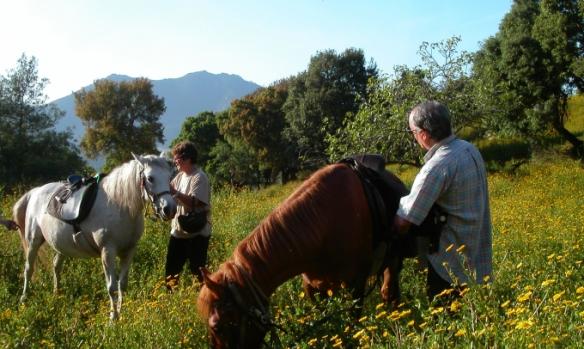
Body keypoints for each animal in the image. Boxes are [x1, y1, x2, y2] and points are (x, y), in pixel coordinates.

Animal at [11, 152, 176, 318]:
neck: (119, 205)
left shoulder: (129, 251)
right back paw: (24, 299)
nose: (169, 209)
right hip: (33, 241)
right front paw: (113, 318)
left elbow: (122, 284)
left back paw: (57, 295)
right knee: (29, 269)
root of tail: (36, 191)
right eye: (150, 178)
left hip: (60, 245)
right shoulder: (107, 252)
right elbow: (112, 287)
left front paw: (121, 315)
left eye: (169, 177)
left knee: (56, 266)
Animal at [196, 161, 434, 348]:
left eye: (217, 327)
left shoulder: (356, 285)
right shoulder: (312, 287)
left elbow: (351, 325)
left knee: (389, 291)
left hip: (392, 261)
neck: (322, 225)